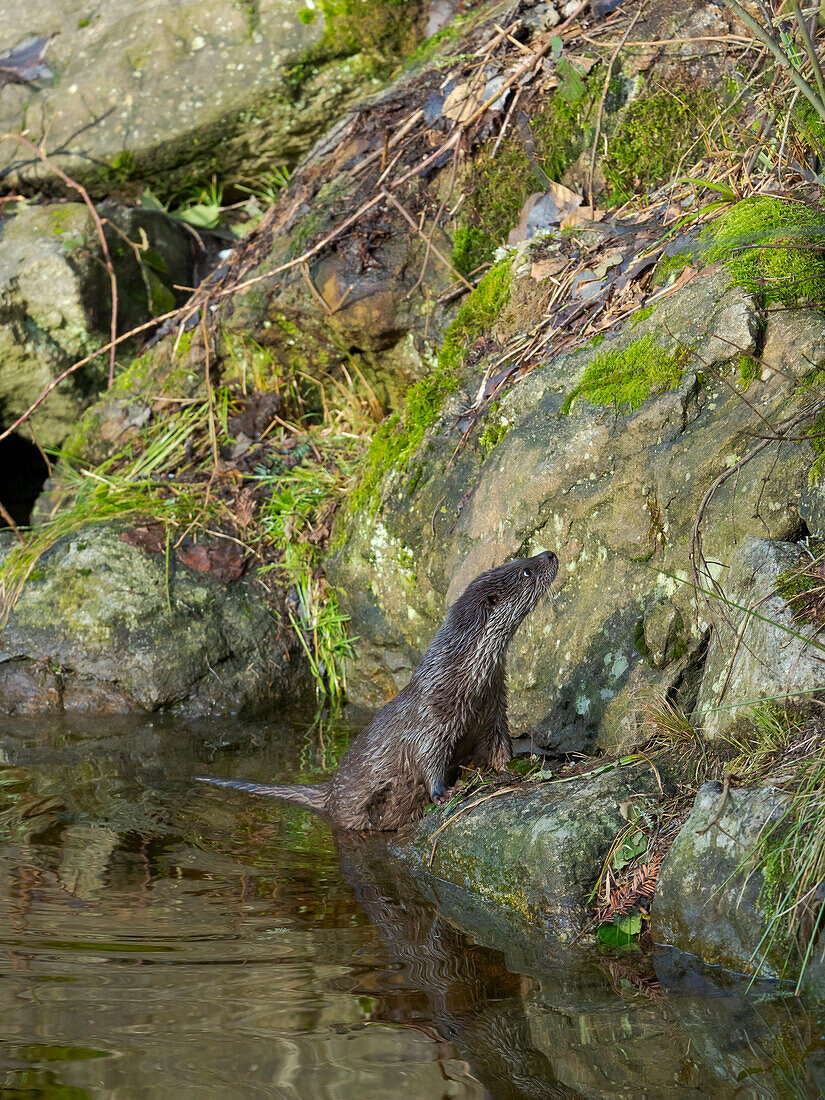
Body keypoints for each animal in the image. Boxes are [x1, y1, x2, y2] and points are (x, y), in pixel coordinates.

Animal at [199, 550, 563, 831]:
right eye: (526, 570)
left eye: (520, 558)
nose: (549, 554)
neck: (462, 681)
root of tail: (330, 791)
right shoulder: (429, 722)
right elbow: (427, 759)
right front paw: (442, 793)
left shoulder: (493, 711)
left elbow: (500, 748)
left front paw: (515, 769)